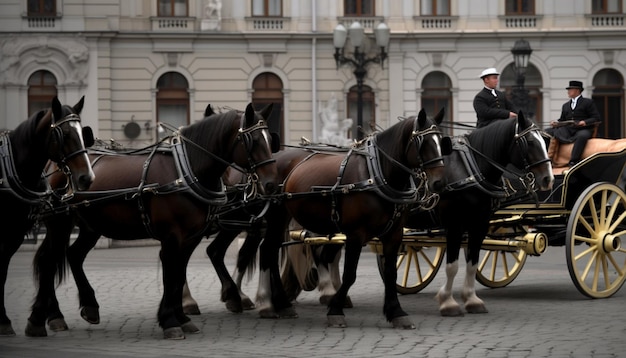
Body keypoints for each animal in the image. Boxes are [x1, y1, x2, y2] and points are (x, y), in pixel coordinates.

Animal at [28, 103, 278, 338]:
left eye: (270, 140)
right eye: (253, 140)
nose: (271, 183)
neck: (184, 171)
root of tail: (53, 163)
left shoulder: (191, 237)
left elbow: (178, 274)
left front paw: (181, 316)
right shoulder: (172, 236)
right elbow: (171, 275)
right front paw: (170, 320)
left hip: (92, 226)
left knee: (73, 255)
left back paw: (86, 306)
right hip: (60, 224)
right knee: (49, 261)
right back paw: (47, 317)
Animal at [252, 107, 448, 328]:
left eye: (441, 141)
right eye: (423, 142)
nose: (439, 182)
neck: (376, 174)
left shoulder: (395, 234)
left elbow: (391, 273)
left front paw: (396, 312)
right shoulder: (355, 234)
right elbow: (350, 274)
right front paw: (335, 310)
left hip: (283, 217)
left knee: (271, 250)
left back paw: (281, 304)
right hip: (277, 216)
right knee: (268, 250)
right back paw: (273, 303)